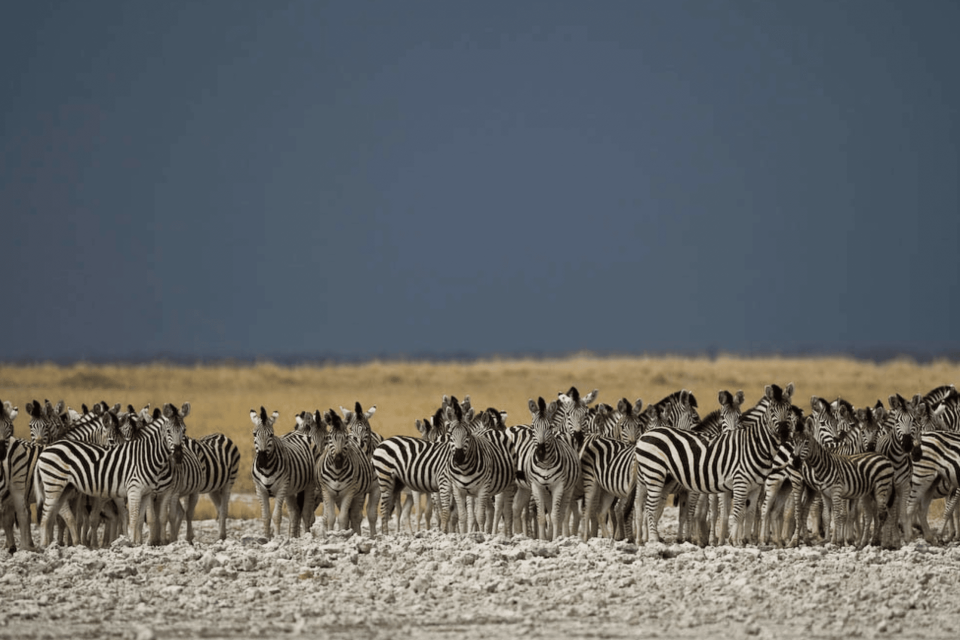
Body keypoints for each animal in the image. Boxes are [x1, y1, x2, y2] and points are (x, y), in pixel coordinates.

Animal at [35, 402, 186, 546]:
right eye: (168, 431)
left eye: (184, 431)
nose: (178, 456)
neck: (148, 456)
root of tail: (47, 449)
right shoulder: (134, 490)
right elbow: (133, 518)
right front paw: (132, 543)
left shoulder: (146, 493)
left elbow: (138, 519)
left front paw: (137, 543)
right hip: (54, 484)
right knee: (45, 515)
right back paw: (45, 545)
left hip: (65, 488)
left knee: (52, 514)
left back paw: (53, 544)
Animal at [250, 406, 318, 538]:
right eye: (254, 434)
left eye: (271, 435)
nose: (262, 460)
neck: (266, 469)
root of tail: (301, 430)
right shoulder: (260, 490)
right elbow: (265, 517)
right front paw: (266, 538)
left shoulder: (281, 488)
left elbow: (277, 516)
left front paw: (276, 537)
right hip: (290, 490)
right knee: (295, 511)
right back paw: (292, 537)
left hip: (309, 484)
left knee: (306, 513)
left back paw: (306, 535)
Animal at [528, 397, 582, 540]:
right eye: (533, 427)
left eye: (549, 427)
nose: (540, 453)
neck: (545, 464)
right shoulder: (536, 486)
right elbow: (541, 516)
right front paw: (542, 540)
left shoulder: (558, 486)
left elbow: (556, 516)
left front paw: (556, 540)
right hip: (547, 492)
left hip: (568, 489)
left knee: (563, 514)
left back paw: (561, 536)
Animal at [636, 383, 796, 545]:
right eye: (772, 411)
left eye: (789, 410)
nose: (784, 433)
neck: (756, 444)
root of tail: (646, 434)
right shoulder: (739, 481)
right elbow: (736, 511)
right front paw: (732, 540)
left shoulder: (755, 486)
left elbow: (749, 513)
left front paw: (746, 541)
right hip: (654, 474)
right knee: (650, 507)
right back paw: (653, 539)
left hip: (662, 479)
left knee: (652, 506)